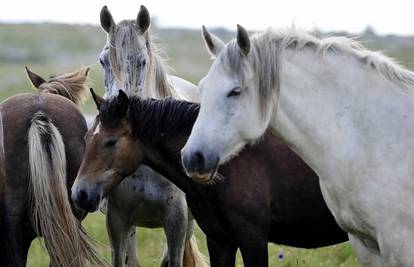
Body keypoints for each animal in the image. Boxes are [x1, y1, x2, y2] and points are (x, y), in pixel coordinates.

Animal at [73, 90, 348, 267]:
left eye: (111, 141)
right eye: (86, 139)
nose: (79, 194)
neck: (225, 161)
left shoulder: (253, 238)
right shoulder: (219, 240)